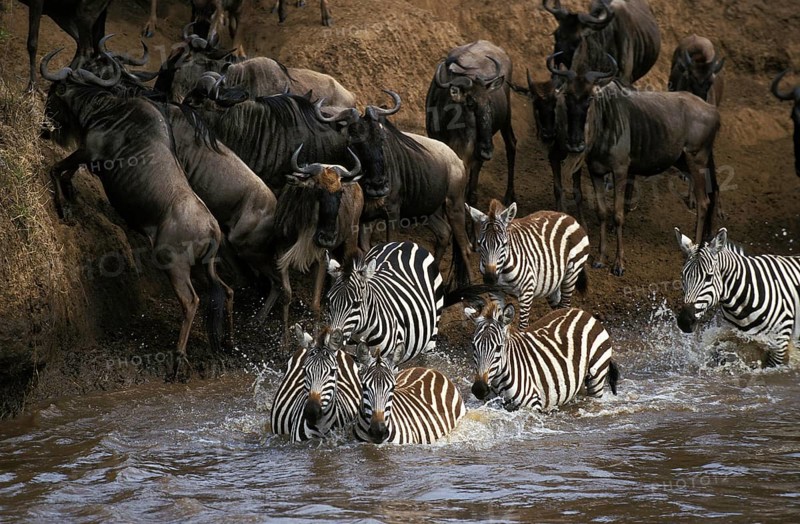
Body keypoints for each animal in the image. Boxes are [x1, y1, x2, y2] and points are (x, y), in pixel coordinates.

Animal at [465, 300, 619, 412]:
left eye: (498, 347)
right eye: (473, 346)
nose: (479, 389)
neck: (498, 383)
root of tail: (582, 312)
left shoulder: (532, 405)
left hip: (596, 377)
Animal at [466, 199, 590, 329]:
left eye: (505, 244)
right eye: (479, 244)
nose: (490, 279)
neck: (502, 272)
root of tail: (568, 217)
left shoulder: (526, 293)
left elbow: (523, 327)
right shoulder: (494, 293)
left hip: (571, 274)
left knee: (565, 305)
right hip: (552, 283)